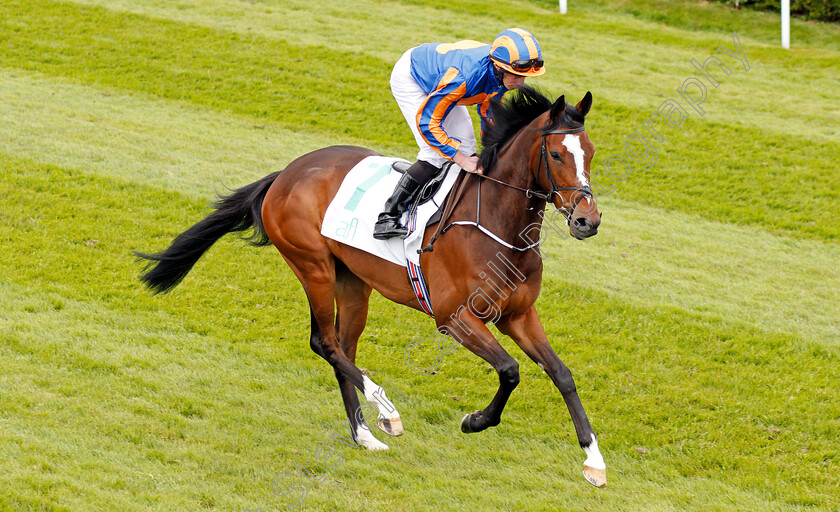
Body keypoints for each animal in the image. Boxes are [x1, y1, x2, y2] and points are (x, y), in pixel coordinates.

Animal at [139, 86, 612, 486]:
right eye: (556, 154)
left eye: (589, 152)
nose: (587, 220)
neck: (497, 226)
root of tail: (286, 173)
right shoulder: (455, 319)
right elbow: (510, 370)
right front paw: (474, 420)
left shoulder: (518, 315)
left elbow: (562, 374)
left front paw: (594, 460)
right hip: (313, 266)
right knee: (324, 343)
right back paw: (387, 412)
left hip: (352, 281)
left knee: (343, 348)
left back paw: (364, 434)